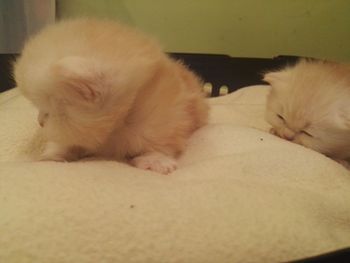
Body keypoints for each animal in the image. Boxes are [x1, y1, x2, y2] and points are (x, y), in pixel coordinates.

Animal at [14, 19, 208, 175]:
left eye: (48, 112)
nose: (40, 122)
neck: (118, 126)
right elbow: (66, 143)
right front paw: (52, 155)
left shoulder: (168, 118)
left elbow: (160, 143)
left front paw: (155, 160)